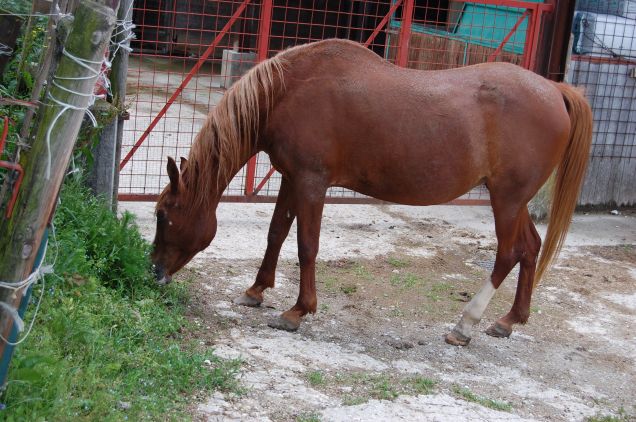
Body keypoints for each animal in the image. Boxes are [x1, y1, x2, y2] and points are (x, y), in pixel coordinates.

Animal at [152, 38, 592, 344]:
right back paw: (508, 321)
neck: (288, 90)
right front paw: (256, 290)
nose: (154, 271)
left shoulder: (311, 183)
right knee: (530, 249)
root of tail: (555, 90)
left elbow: (306, 246)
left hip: (508, 199)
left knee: (509, 253)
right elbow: (276, 233)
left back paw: (465, 324)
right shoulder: (292, 178)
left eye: (162, 215)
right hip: (514, 202)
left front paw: (298, 311)